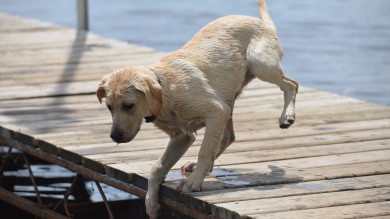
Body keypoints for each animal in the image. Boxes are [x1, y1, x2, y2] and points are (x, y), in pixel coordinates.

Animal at [96, 0, 298, 216]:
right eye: (109, 107)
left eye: (129, 106)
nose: (114, 137)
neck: (166, 92)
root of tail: (263, 24)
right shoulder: (182, 137)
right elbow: (157, 167)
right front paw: (151, 201)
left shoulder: (216, 112)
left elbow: (204, 150)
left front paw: (192, 183)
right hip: (229, 98)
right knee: (228, 136)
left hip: (259, 64)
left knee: (291, 84)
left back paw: (287, 116)